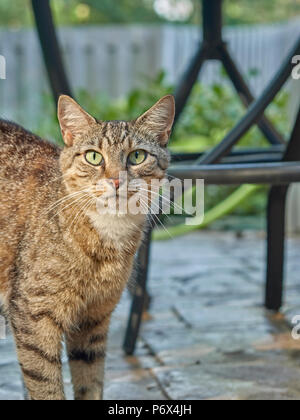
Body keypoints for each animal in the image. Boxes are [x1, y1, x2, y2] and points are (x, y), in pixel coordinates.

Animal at [0, 95, 176, 400]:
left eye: (137, 156)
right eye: (94, 156)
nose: (116, 180)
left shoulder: (93, 320)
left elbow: (90, 382)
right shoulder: (33, 317)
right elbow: (46, 386)